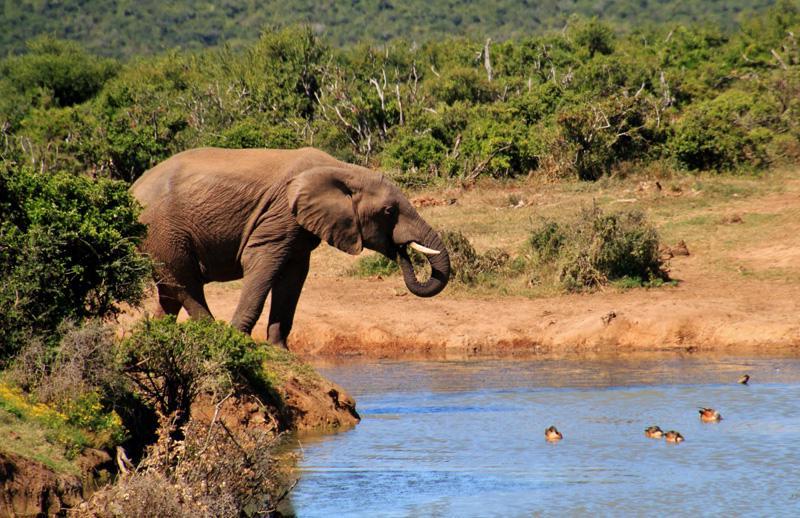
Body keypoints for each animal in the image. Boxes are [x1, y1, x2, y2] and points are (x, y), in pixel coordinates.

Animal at [131, 147, 450, 348]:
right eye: (388, 211)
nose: (402, 250)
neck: (343, 170)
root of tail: (133, 188)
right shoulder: (279, 216)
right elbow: (262, 264)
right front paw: (238, 340)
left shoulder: (299, 231)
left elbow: (293, 277)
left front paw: (279, 349)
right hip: (163, 230)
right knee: (186, 284)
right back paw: (213, 334)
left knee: (170, 291)